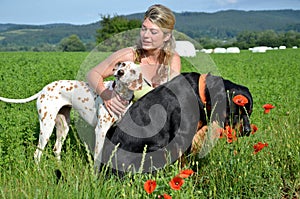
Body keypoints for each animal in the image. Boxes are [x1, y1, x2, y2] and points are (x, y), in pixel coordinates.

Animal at [0, 61, 142, 169]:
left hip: (63, 127)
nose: (120, 72)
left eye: (133, 71)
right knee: (37, 154)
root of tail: (43, 90)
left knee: (56, 149)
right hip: (47, 127)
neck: (119, 94)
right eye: (122, 64)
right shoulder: (100, 131)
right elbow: (97, 157)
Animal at [101, 72, 253, 174]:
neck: (199, 93)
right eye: (236, 113)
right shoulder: (182, 136)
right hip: (156, 147)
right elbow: (183, 162)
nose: (248, 131)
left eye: (249, 112)